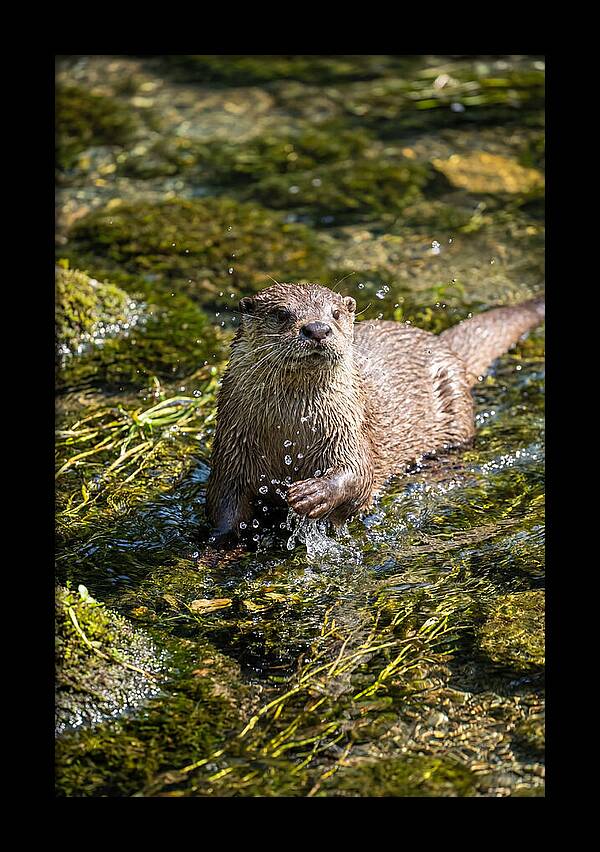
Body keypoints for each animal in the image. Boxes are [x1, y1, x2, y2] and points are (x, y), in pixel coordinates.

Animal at [206, 283, 544, 542]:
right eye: (281, 314)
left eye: (335, 313)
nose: (317, 329)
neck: (291, 432)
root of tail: (442, 344)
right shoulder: (231, 450)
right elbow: (224, 506)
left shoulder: (349, 430)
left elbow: (359, 474)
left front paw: (313, 494)